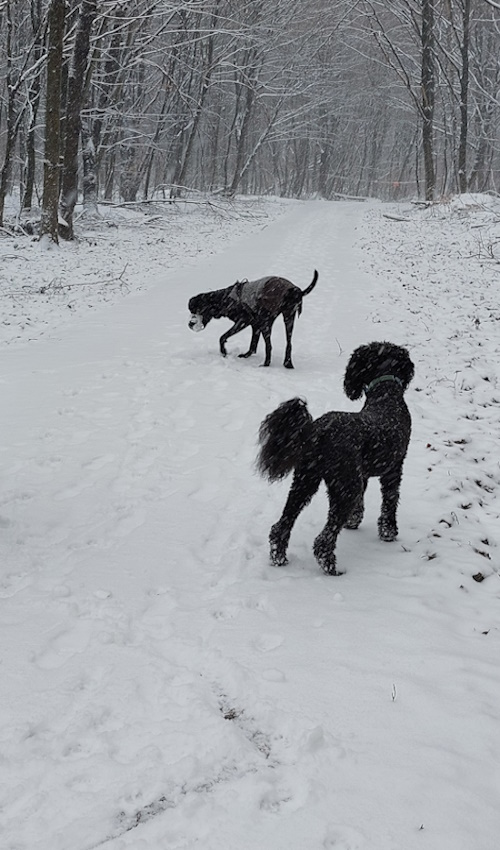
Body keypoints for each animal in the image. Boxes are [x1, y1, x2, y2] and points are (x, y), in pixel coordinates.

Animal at [189, 270, 318, 366]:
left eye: (196, 310)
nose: (190, 324)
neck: (224, 299)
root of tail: (295, 290)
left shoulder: (243, 321)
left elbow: (222, 337)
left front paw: (224, 352)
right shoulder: (255, 325)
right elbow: (253, 344)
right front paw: (247, 354)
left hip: (267, 323)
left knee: (269, 345)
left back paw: (266, 364)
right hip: (288, 317)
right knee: (288, 343)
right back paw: (287, 363)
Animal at [256, 342, 412, 572]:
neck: (386, 396)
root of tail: (317, 430)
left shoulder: (363, 475)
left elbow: (361, 502)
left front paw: (354, 522)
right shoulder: (393, 469)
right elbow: (390, 501)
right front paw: (388, 532)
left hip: (305, 482)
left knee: (282, 524)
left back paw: (279, 557)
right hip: (345, 487)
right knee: (324, 537)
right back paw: (330, 566)